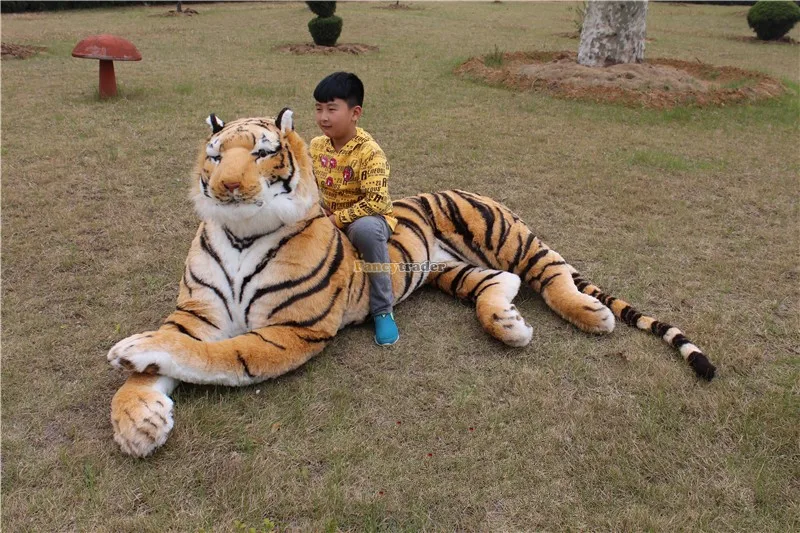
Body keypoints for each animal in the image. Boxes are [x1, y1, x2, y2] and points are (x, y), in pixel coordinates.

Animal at [107, 109, 716, 457]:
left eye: (261, 152)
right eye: (215, 157)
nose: (228, 187)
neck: (239, 234)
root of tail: (474, 188)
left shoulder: (290, 330)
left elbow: (209, 355)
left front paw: (133, 349)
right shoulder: (198, 313)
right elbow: (167, 357)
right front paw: (139, 420)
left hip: (506, 235)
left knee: (552, 274)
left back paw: (591, 315)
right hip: (454, 271)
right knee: (502, 283)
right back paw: (509, 325)